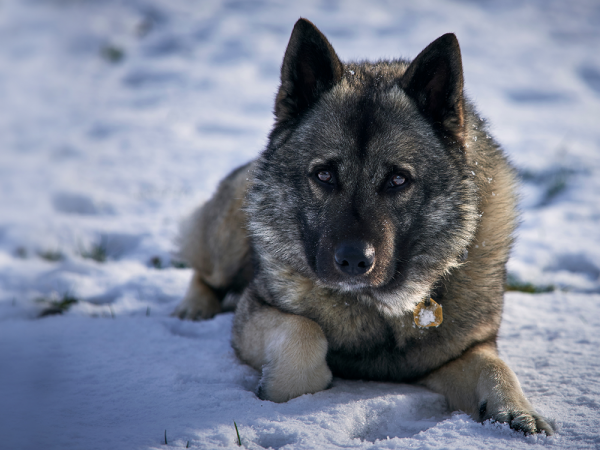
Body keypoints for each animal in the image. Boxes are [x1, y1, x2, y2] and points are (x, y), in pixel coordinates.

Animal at [172, 18, 552, 436]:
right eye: (324, 175)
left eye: (398, 180)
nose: (354, 260)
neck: (378, 308)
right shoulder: (254, 310)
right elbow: (305, 336)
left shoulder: (463, 351)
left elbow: (495, 367)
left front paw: (517, 410)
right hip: (227, 240)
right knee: (204, 271)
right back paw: (193, 309)